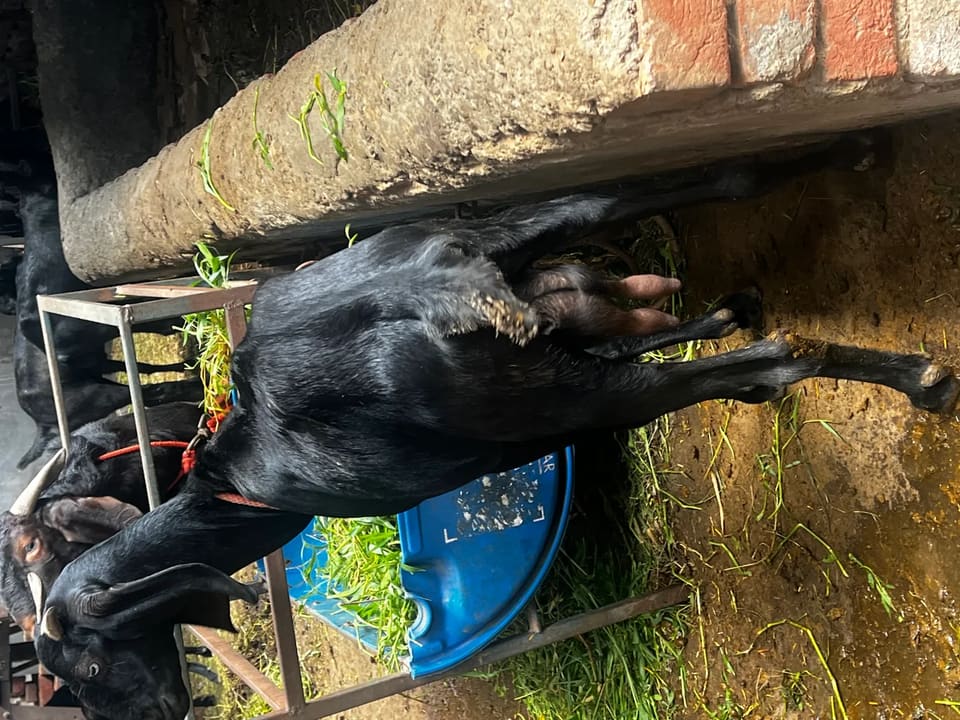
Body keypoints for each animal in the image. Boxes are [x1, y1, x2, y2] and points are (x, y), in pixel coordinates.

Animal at [27, 170, 960, 720]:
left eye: (89, 668)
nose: (170, 711)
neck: (229, 481)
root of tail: (428, 290)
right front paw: (725, 307)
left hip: (546, 399)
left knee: (774, 362)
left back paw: (923, 379)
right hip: (518, 266)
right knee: (643, 201)